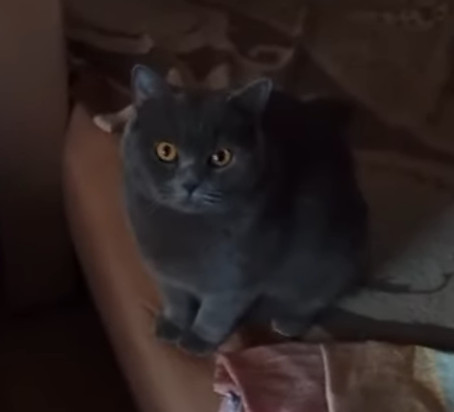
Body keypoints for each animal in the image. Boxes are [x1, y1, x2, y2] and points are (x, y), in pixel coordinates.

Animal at [122, 65, 368, 355]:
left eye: (221, 157)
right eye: (166, 151)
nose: (191, 182)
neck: (182, 230)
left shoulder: (236, 281)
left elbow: (216, 313)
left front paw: (198, 340)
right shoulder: (164, 273)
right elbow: (176, 300)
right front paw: (172, 325)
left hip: (329, 259)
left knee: (316, 297)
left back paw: (289, 322)